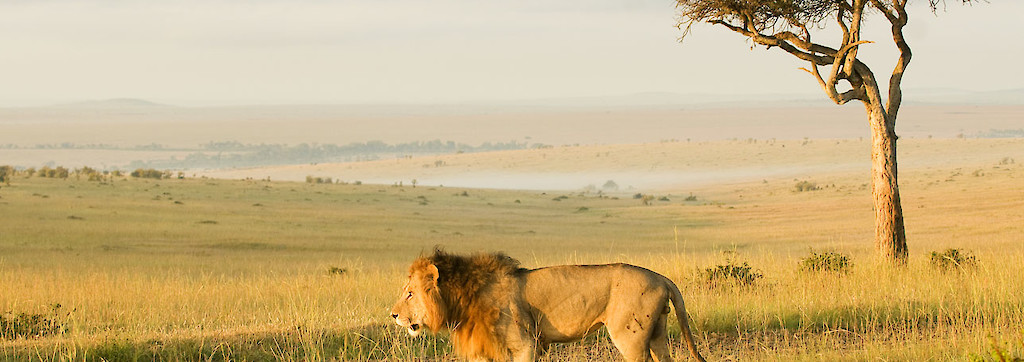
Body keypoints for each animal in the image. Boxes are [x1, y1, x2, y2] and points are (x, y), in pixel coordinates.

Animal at [389, 250, 704, 362]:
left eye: (410, 294)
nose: (392, 315)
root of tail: (661, 277)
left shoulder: (525, 344)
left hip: (631, 337)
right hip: (657, 334)